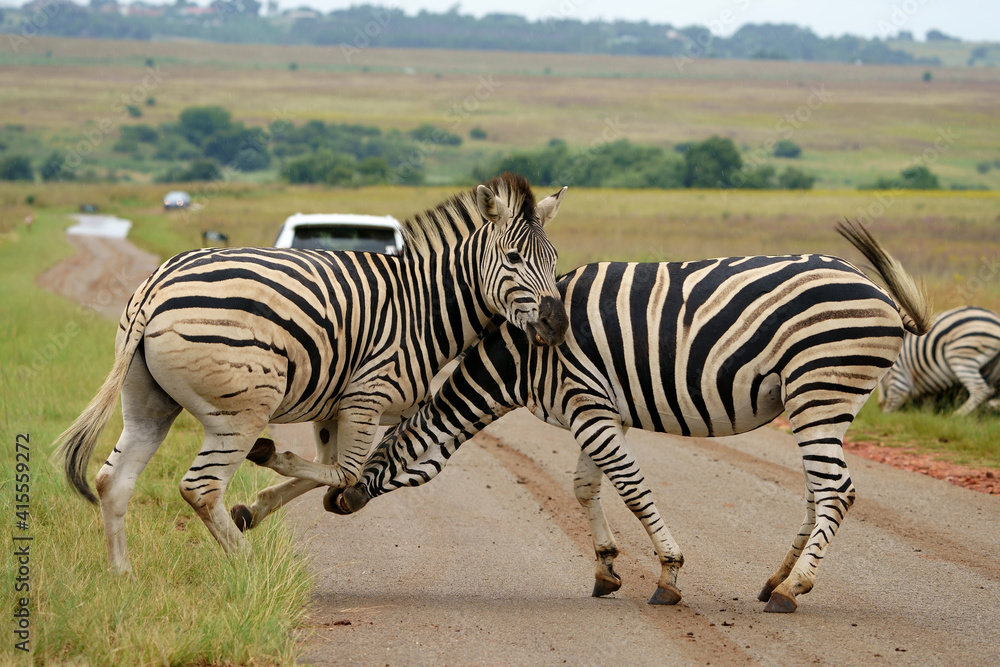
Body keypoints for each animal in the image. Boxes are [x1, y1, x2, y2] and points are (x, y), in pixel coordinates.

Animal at [55, 173, 570, 573]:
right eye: (513, 260)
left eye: (555, 261)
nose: (558, 324)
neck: (423, 309)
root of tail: (159, 284)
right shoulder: (366, 399)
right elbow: (344, 472)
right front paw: (269, 465)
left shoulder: (333, 407)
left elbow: (325, 468)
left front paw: (255, 505)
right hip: (244, 409)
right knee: (201, 488)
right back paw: (250, 570)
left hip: (148, 401)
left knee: (114, 480)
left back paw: (122, 575)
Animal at [266, 222, 930, 613]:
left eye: (381, 453)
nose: (335, 501)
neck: (524, 356)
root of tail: (877, 290)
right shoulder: (594, 409)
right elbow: (586, 485)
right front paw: (607, 570)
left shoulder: (589, 407)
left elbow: (632, 488)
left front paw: (667, 576)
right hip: (822, 399)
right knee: (821, 491)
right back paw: (776, 579)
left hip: (819, 388)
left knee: (836, 489)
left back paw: (792, 590)